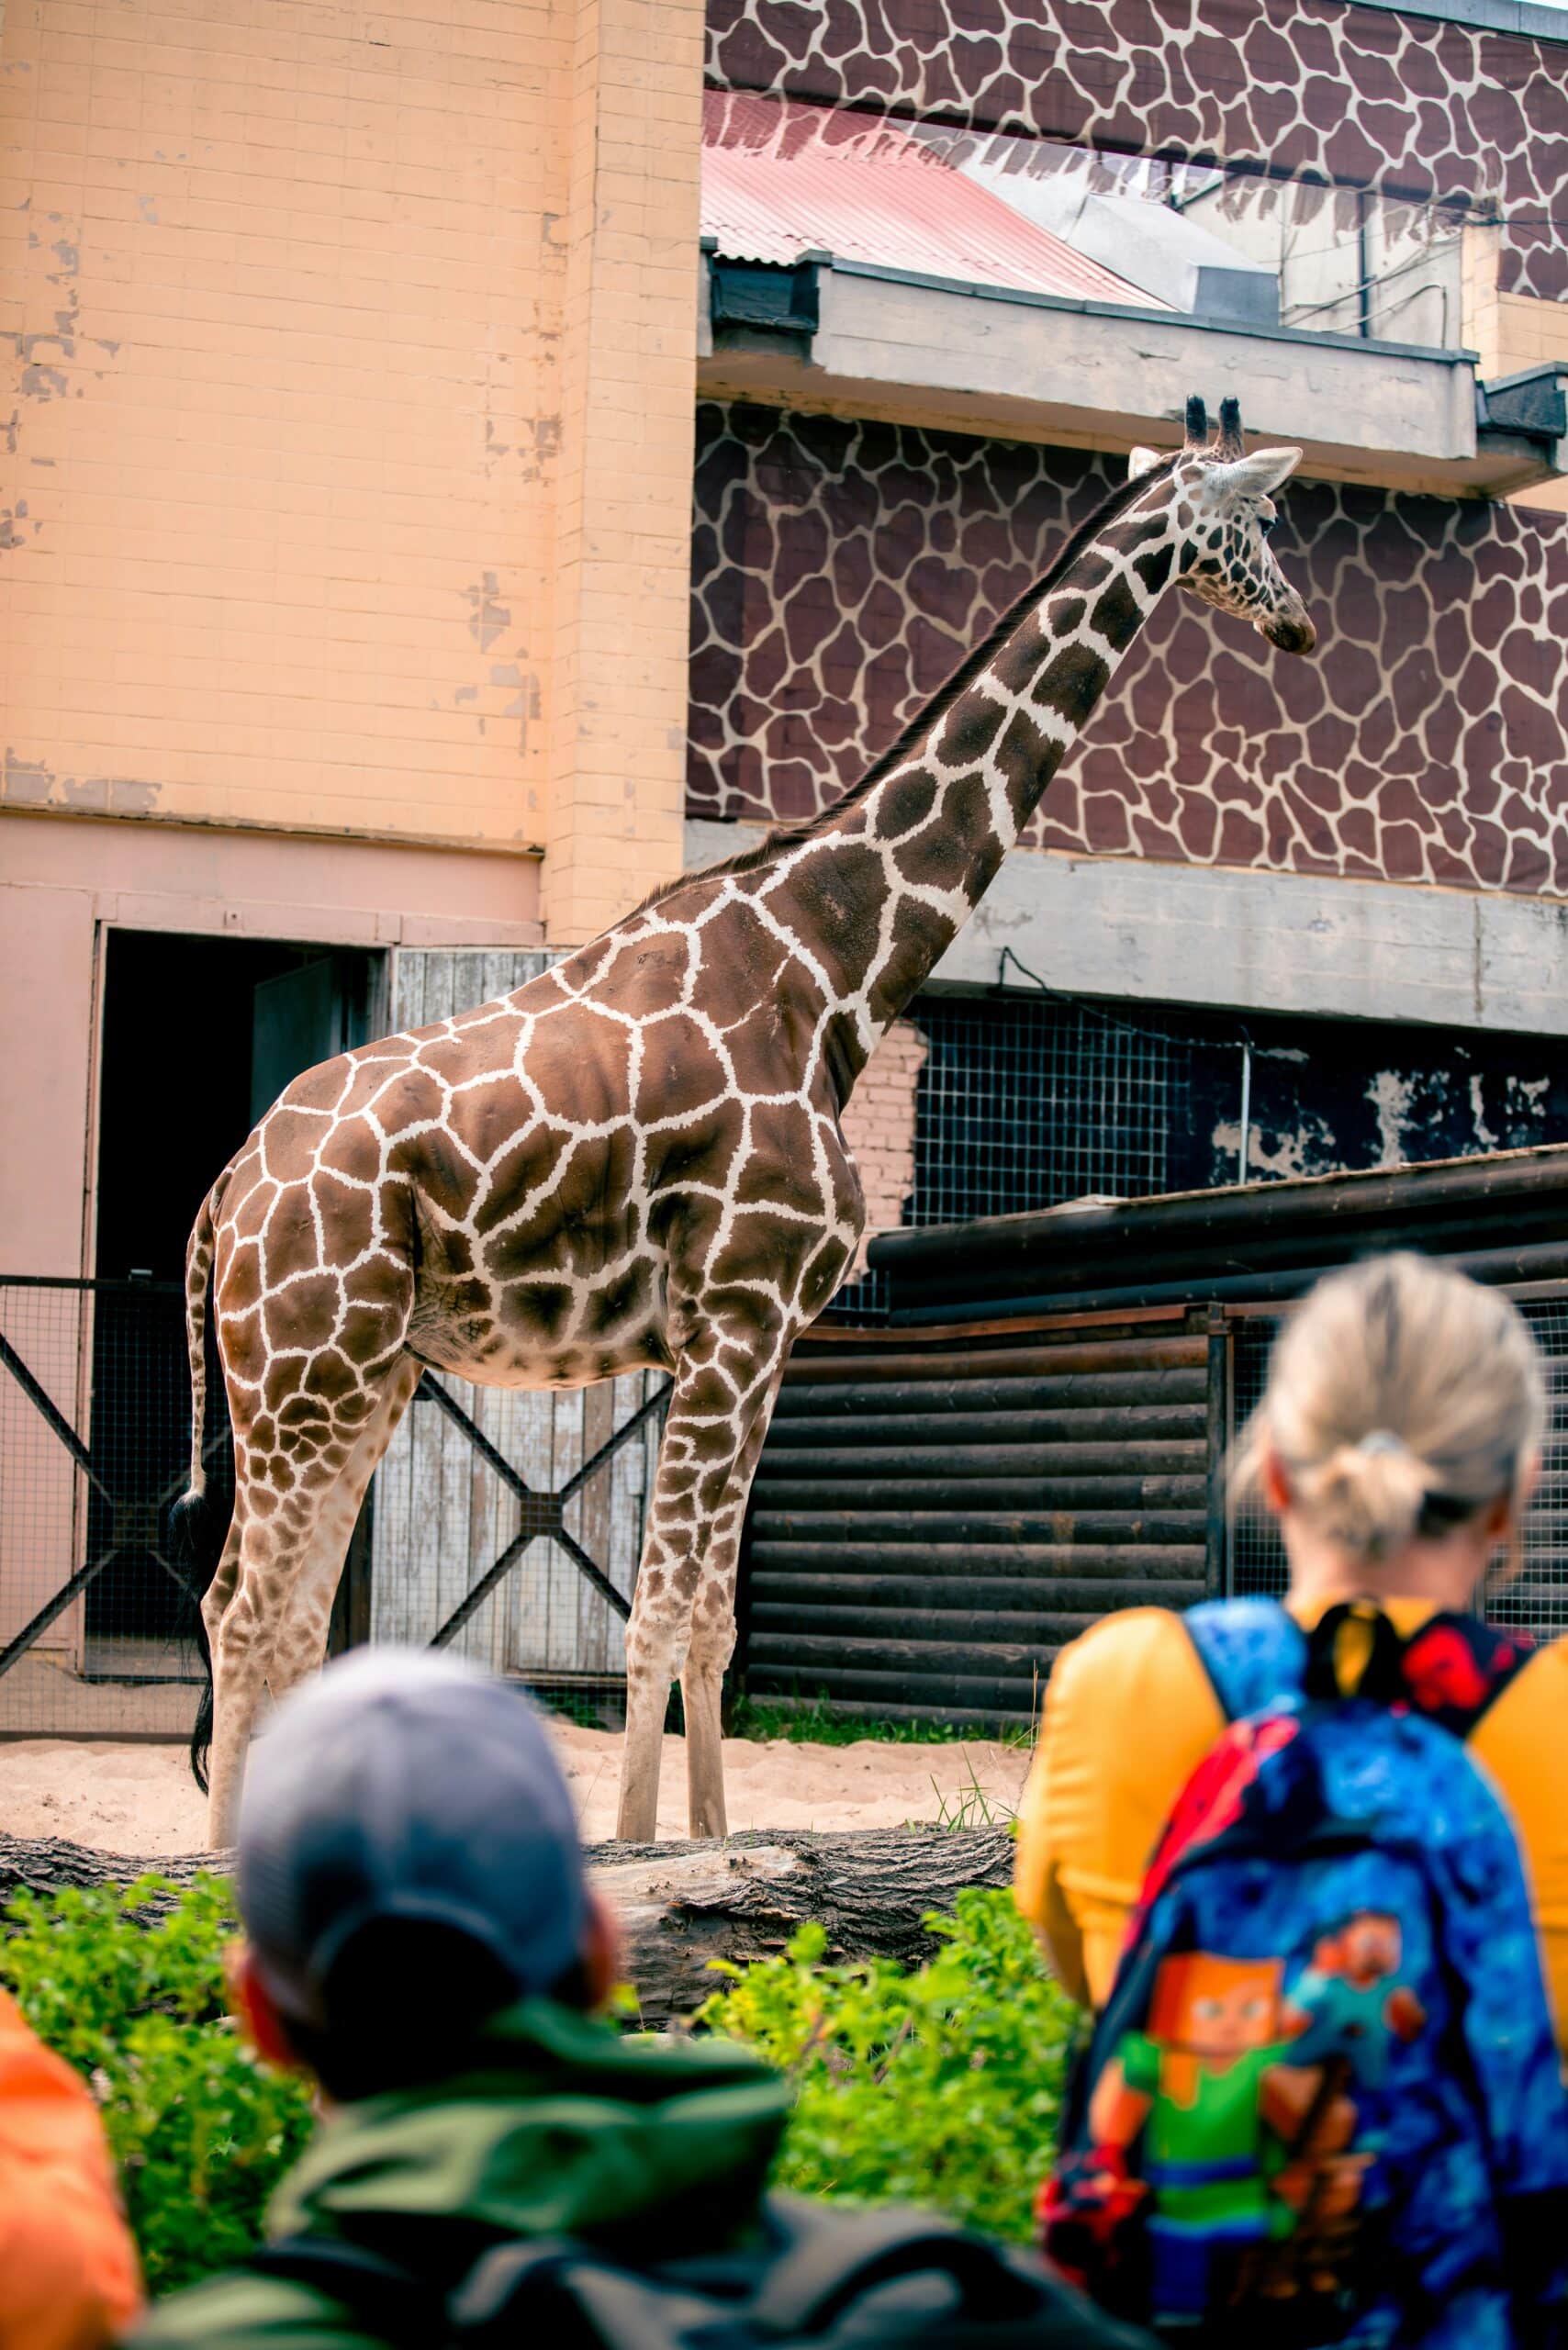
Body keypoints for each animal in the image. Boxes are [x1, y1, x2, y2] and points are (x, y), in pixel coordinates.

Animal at [177, 393, 1314, 1848]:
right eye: (1257, 518)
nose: (1297, 625)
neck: (829, 970)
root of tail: (225, 1190)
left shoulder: (761, 1338)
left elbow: (710, 1620)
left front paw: (718, 1847)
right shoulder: (734, 1313)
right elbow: (659, 1615)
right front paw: (639, 1847)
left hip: (357, 1375)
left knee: (282, 1613)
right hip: (304, 1369)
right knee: (250, 1612)